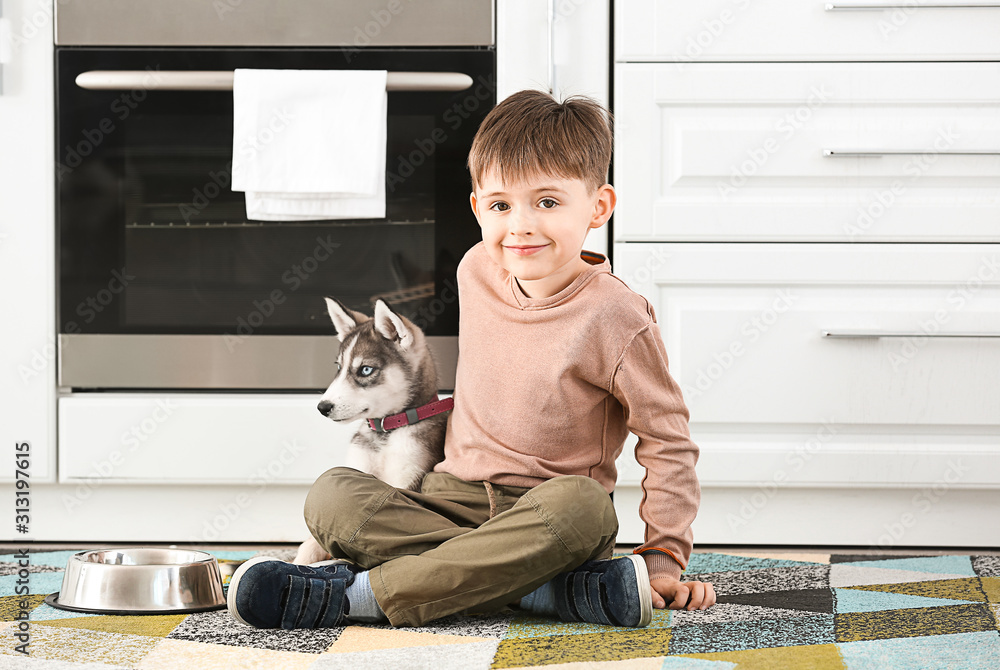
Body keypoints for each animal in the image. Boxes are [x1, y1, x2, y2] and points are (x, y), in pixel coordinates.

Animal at [292, 300, 450, 568]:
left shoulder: (408, 481)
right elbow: (310, 542)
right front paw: (300, 561)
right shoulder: (358, 469)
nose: (322, 407)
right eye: (339, 367)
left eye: (365, 370)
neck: (386, 432)